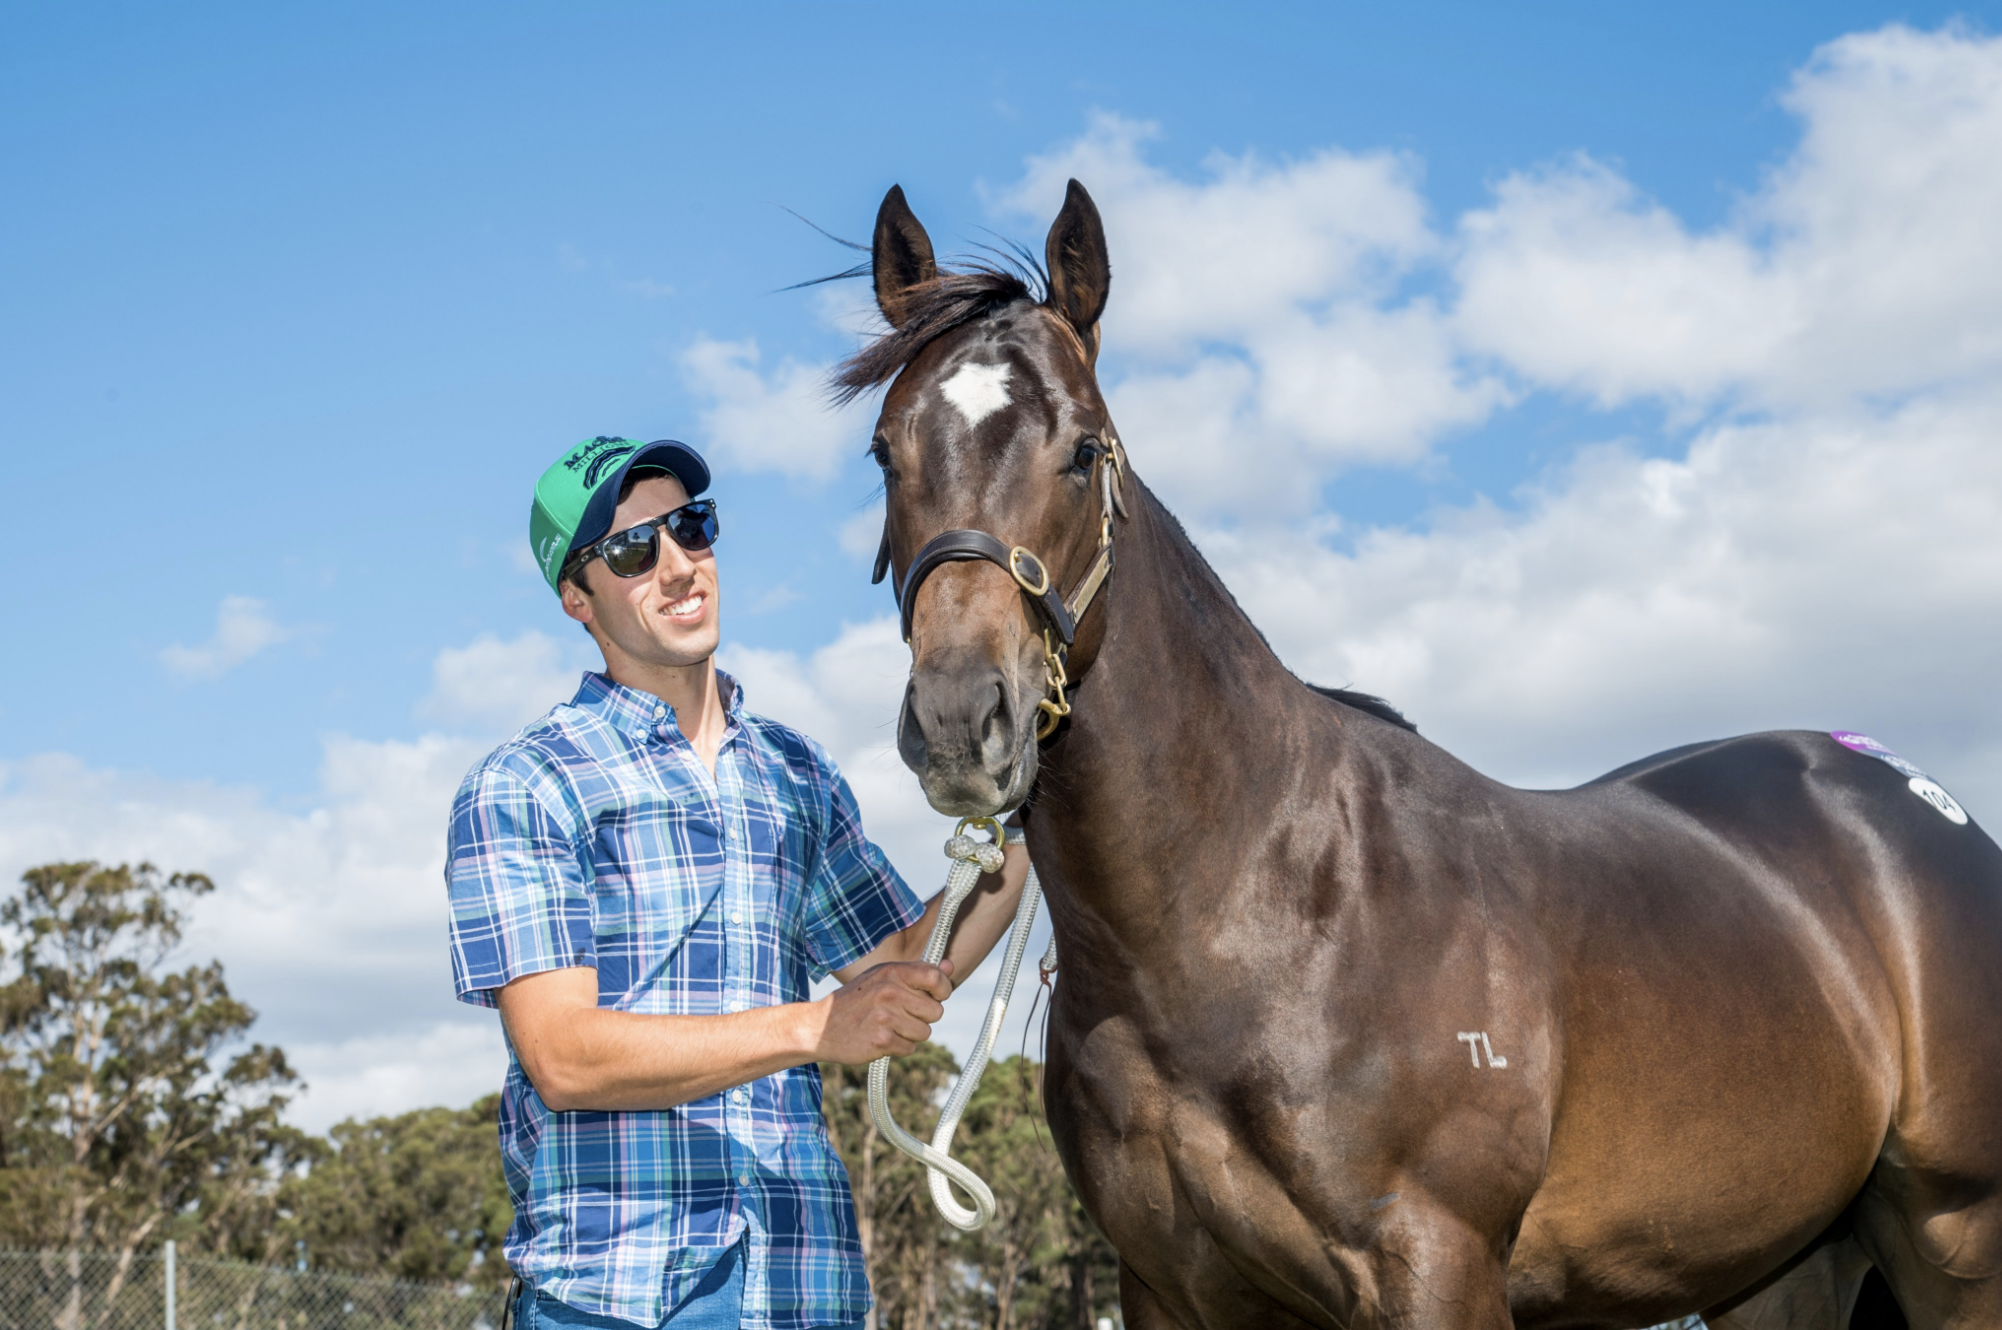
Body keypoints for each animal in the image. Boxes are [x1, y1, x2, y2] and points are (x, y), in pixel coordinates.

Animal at [836, 179, 2002, 1329]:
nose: (961, 718)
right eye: (886, 453)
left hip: (1953, 1240)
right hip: (1783, 1263)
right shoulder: (1170, 1290)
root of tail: (1917, 800)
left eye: (1082, 449)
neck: (1256, 910)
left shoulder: (1437, 1265)